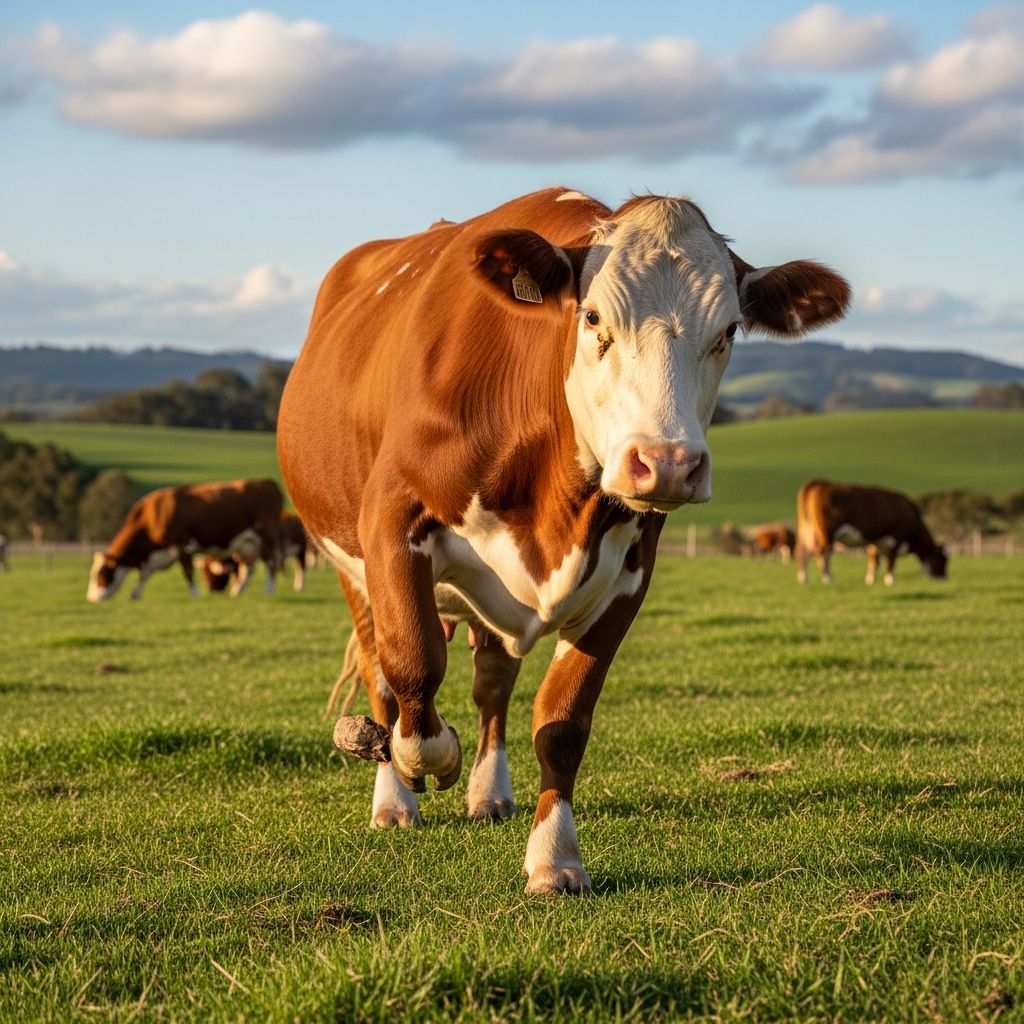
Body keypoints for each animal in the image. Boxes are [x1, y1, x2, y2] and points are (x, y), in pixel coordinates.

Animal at [86, 478, 283, 602]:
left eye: (100, 574)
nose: (91, 598)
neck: (151, 517)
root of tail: (267, 482)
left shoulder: (182, 544)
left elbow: (187, 571)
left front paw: (194, 594)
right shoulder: (157, 555)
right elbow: (145, 574)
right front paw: (135, 595)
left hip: (266, 537)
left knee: (271, 562)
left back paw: (270, 590)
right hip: (246, 543)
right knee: (247, 568)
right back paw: (237, 591)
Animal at [277, 186, 850, 895]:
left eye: (729, 331)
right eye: (594, 317)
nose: (667, 463)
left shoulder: (629, 576)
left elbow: (563, 720)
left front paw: (555, 857)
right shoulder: (390, 523)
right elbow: (412, 665)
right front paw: (423, 761)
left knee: (492, 683)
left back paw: (489, 792)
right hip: (348, 564)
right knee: (382, 671)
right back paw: (395, 798)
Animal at [796, 480, 948, 586]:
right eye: (943, 560)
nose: (945, 578)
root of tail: (819, 483)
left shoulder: (876, 540)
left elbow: (874, 559)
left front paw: (870, 580)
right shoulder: (897, 538)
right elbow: (891, 559)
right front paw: (890, 580)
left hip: (808, 529)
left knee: (804, 552)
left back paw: (803, 578)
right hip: (827, 532)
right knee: (823, 553)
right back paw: (827, 578)